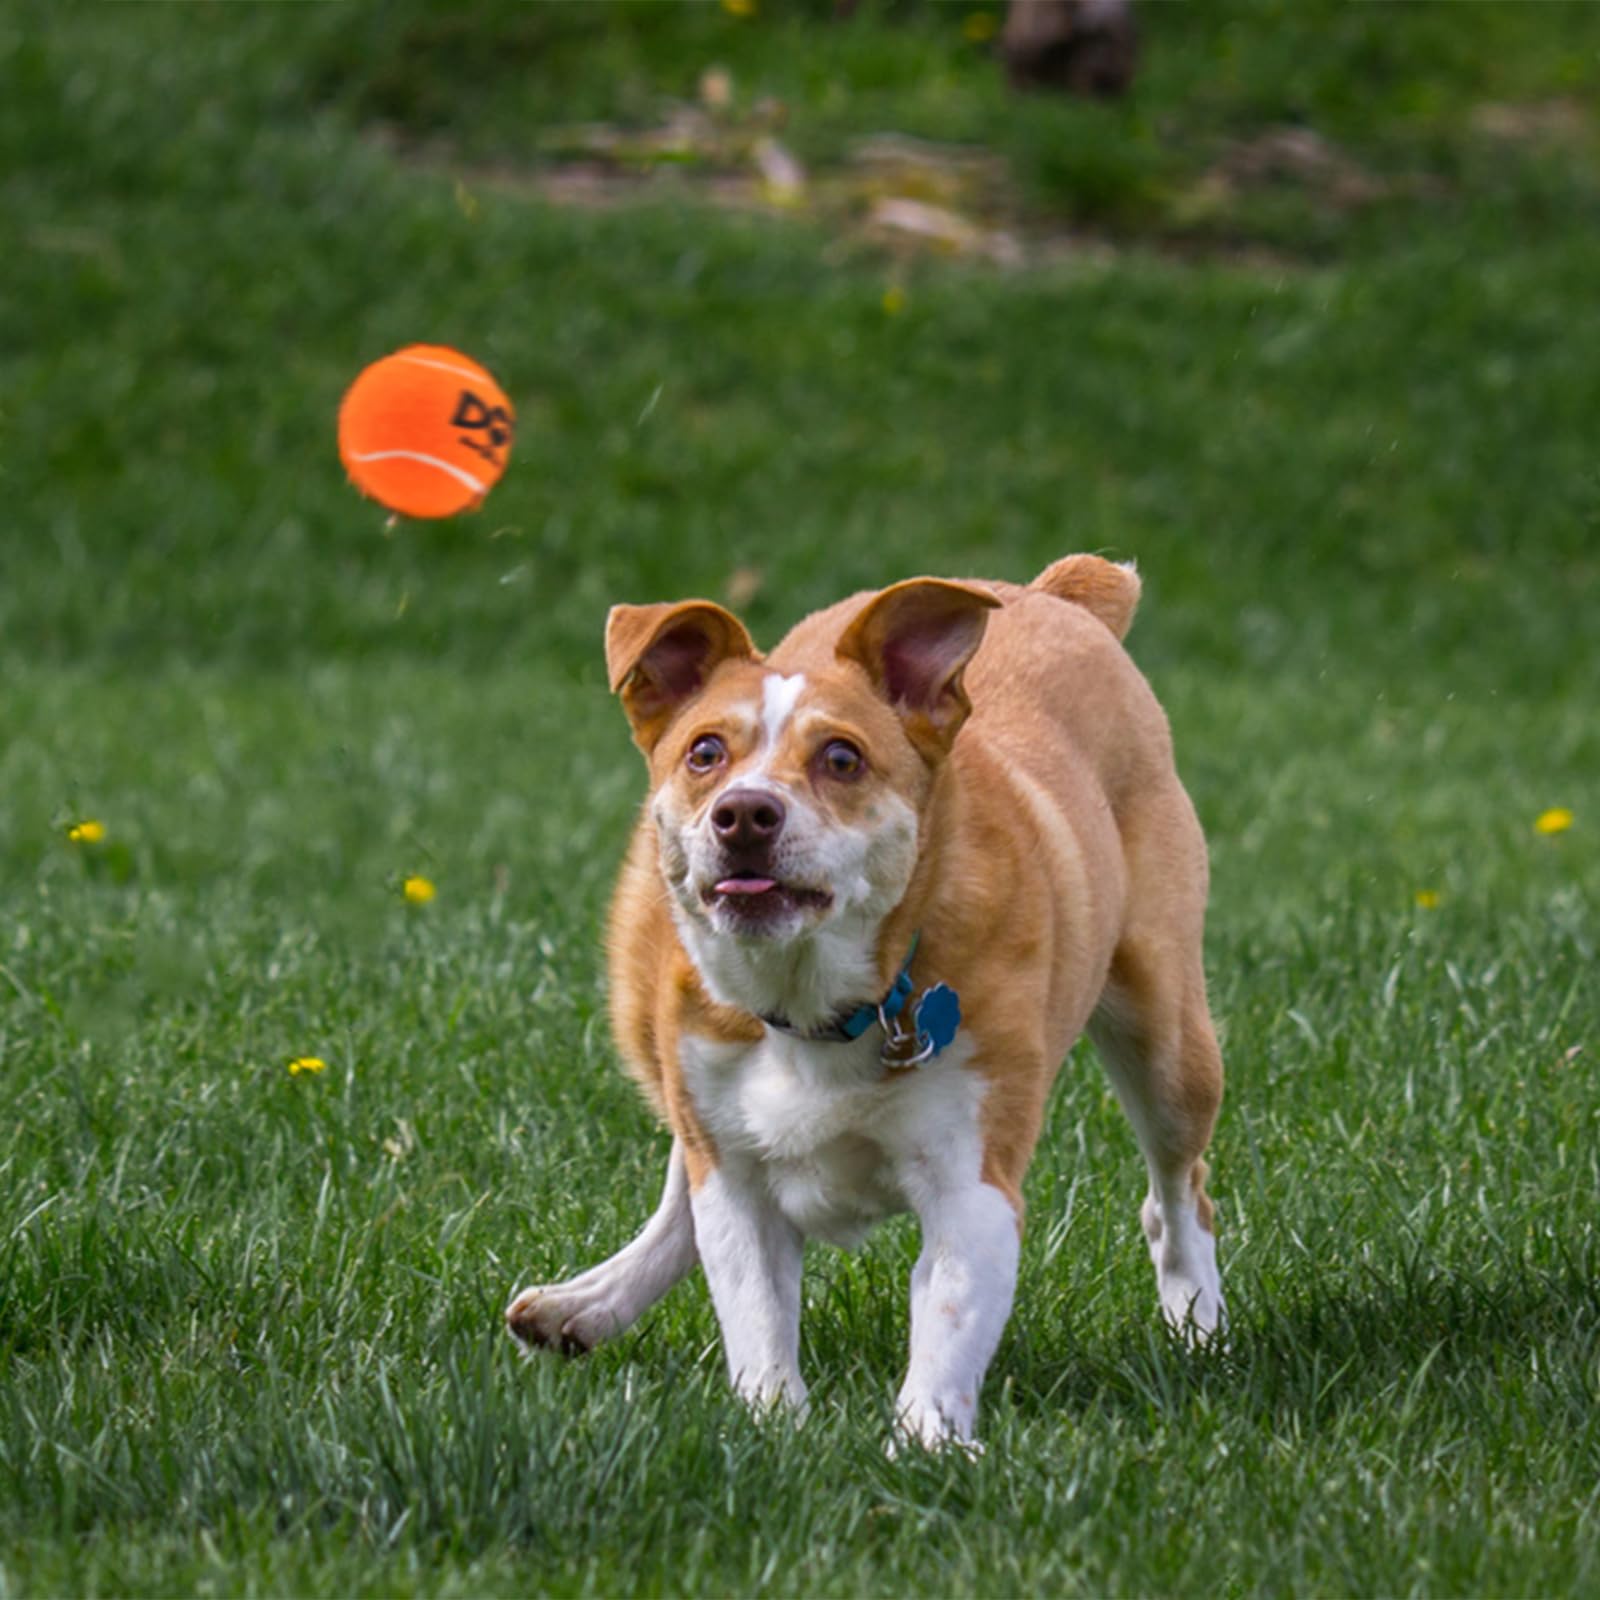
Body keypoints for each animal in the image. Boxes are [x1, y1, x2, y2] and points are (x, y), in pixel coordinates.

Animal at [505, 553, 1216, 1452]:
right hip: (664, 1047)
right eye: (705, 752)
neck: (815, 1005)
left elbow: (949, 1312)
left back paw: (1200, 1325)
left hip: (1168, 1032)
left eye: (841, 758)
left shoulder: (971, 1176)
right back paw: (590, 1303)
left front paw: (926, 1444)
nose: (744, 812)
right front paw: (775, 1425)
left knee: (1178, 1190)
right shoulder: (730, 1158)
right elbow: (752, 1299)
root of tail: (1053, 594)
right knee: (681, 1179)